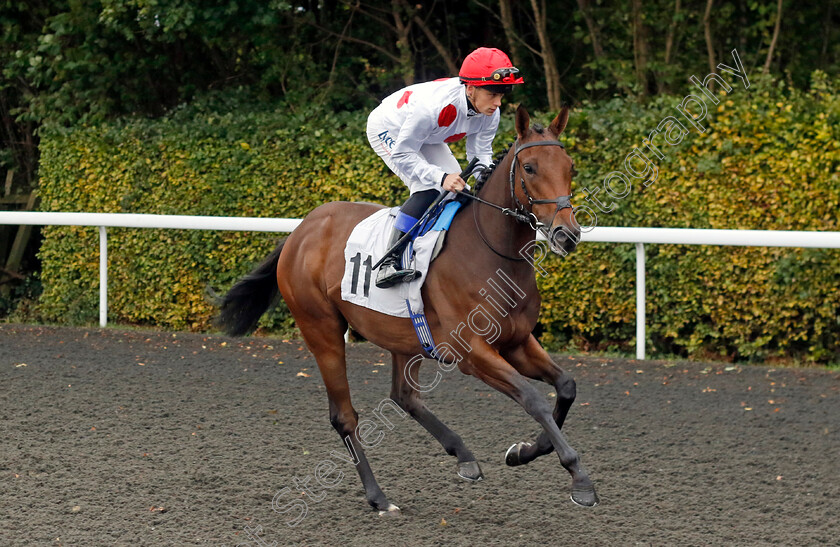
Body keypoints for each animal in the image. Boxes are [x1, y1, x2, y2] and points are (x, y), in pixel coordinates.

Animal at [217, 105, 596, 516]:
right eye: (529, 168)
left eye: (571, 166)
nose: (567, 235)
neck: (489, 253)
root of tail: (300, 231)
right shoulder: (472, 353)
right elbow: (533, 399)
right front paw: (579, 478)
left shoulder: (517, 341)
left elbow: (566, 386)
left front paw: (525, 451)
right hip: (322, 330)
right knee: (344, 416)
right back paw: (379, 497)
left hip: (404, 336)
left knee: (404, 397)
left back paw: (463, 455)